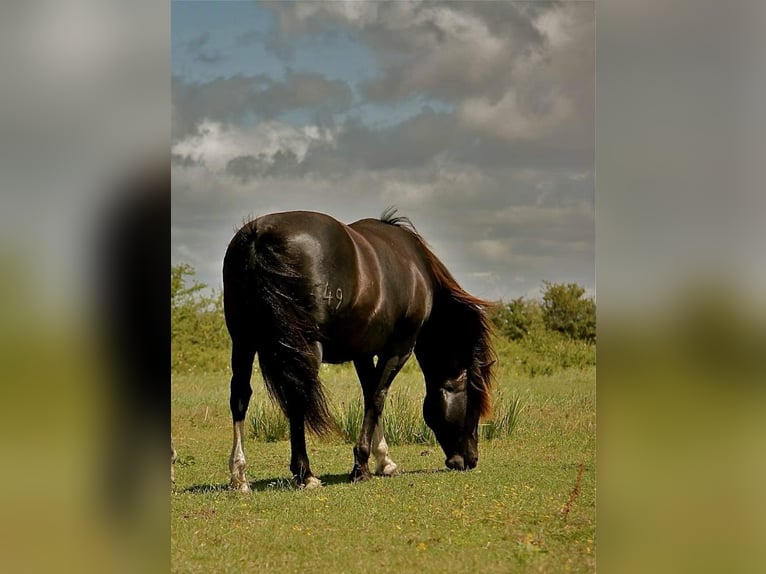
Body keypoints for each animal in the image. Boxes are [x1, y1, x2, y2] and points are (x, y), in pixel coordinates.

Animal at [222, 209, 495, 491]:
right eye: (474, 405)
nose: (471, 459)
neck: (417, 273)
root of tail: (259, 237)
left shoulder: (362, 352)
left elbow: (370, 394)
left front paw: (384, 460)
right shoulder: (398, 349)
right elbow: (377, 397)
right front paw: (361, 466)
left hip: (243, 341)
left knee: (240, 396)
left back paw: (239, 476)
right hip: (304, 349)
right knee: (297, 399)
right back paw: (305, 474)